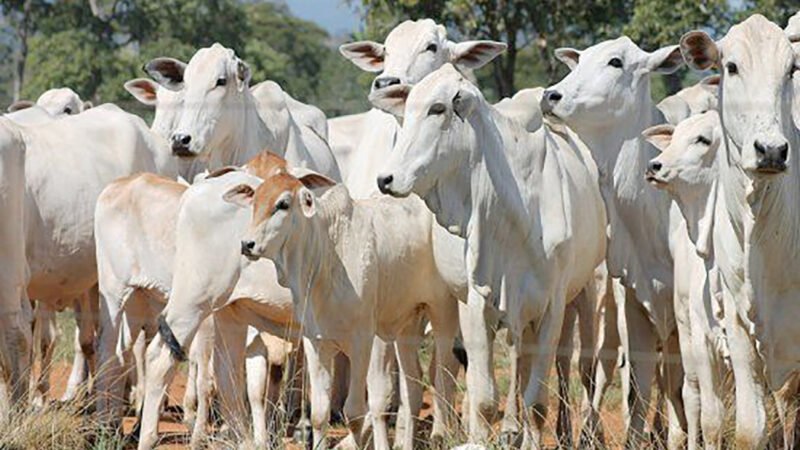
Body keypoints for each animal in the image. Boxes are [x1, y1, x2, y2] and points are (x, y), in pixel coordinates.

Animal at [375, 64, 607, 447]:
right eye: (406, 111)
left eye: (438, 109)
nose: (385, 178)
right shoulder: (475, 303)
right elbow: (484, 399)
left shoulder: (552, 307)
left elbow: (537, 403)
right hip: (444, 304)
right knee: (440, 371)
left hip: (584, 293)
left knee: (575, 368)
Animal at [643, 111, 728, 449]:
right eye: (675, 136)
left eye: (702, 139)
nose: (654, 166)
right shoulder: (704, 341)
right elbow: (713, 419)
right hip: (685, 334)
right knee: (692, 399)